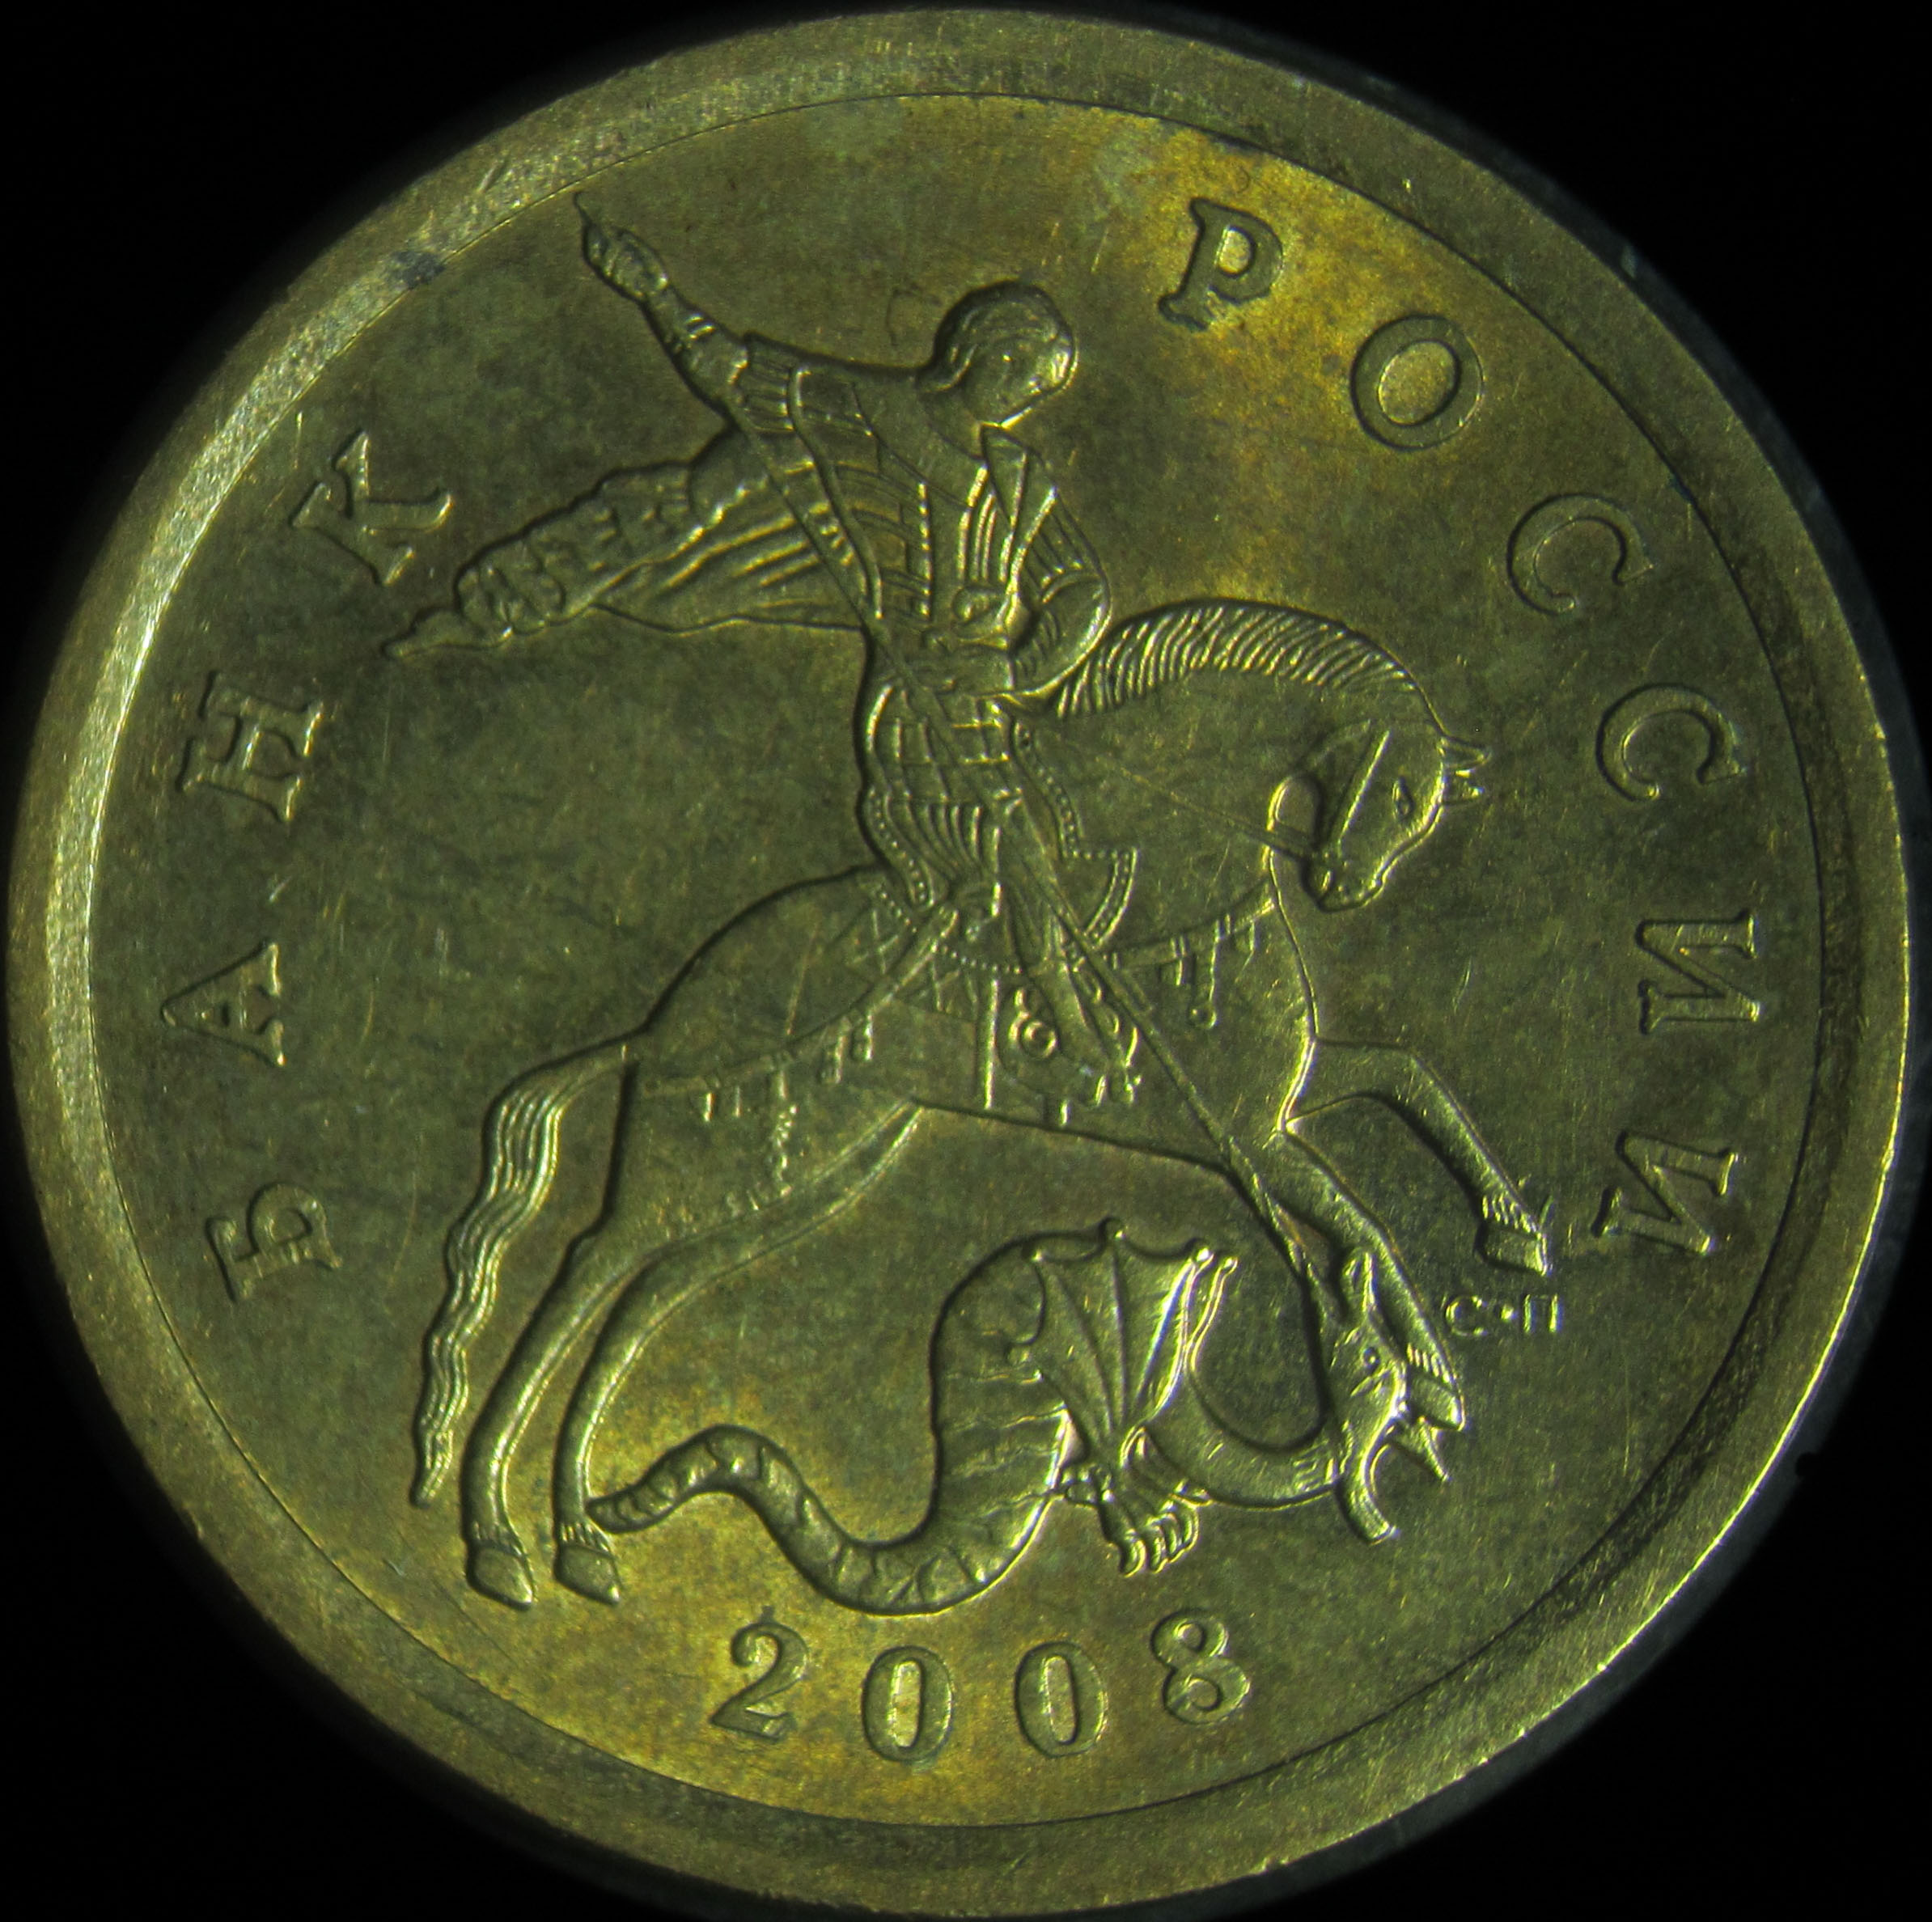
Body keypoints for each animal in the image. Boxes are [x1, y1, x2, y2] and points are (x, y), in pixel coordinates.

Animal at [409, 599, 1552, 1610]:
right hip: (702, 1159)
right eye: (1400, 796)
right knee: (583, 1275)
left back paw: (580, 1540)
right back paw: (501, 1540)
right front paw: (1430, 1379)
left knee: (641, 1303)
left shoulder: (1281, 1105)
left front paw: (1510, 1238)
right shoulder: (1253, 1139)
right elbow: (1369, 1220)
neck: (1179, 883)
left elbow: (1411, 1085)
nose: (1344, 889)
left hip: (805, 1171)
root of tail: (664, 1022)